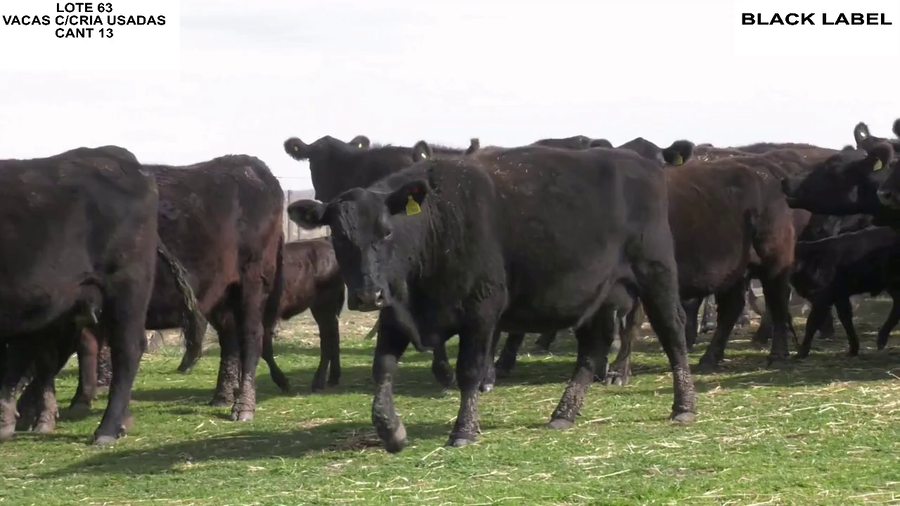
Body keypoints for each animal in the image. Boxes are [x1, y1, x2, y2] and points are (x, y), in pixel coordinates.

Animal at [288, 140, 698, 453]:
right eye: (339, 236)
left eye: (386, 231)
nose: (366, 295)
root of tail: (643, 162)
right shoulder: (395, 313)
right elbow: (383, 368)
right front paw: (391, 430)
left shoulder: (481, 311)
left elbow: (469, 371)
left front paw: (464, 430)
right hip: (596, 296)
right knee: (591, 351)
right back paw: (563, 413)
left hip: (657, 275)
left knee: (673, 333)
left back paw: (684, 406)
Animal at [791, 225, 900, 358]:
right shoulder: (840, 296)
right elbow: (845, 318)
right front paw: (853, 350)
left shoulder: (822, 299)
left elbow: (812, 323)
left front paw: (801, 353)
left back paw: (881, 340)